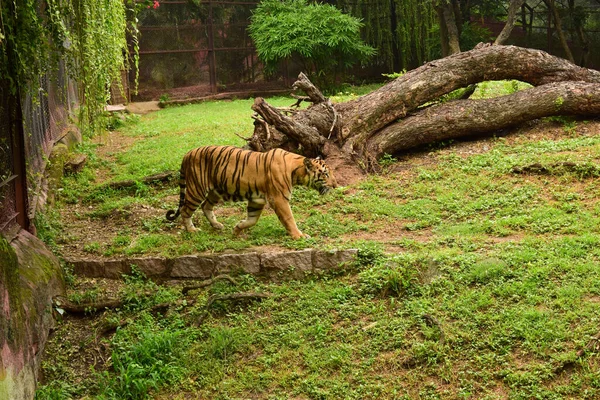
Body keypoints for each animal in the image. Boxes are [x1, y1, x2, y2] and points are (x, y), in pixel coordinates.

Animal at [165, 147, 338, 241]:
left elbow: (252, 220)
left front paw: (237, 229)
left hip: (215, 191)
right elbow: (289, 219)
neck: (295, 170)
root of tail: (188, 153)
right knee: (186, 210)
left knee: (206, 206)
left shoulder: (257, 200)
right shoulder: (279, 199)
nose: (336, 185)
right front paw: (299, 236)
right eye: (325, 174)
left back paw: (217, 225)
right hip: (197, 189)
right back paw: (192, 230)